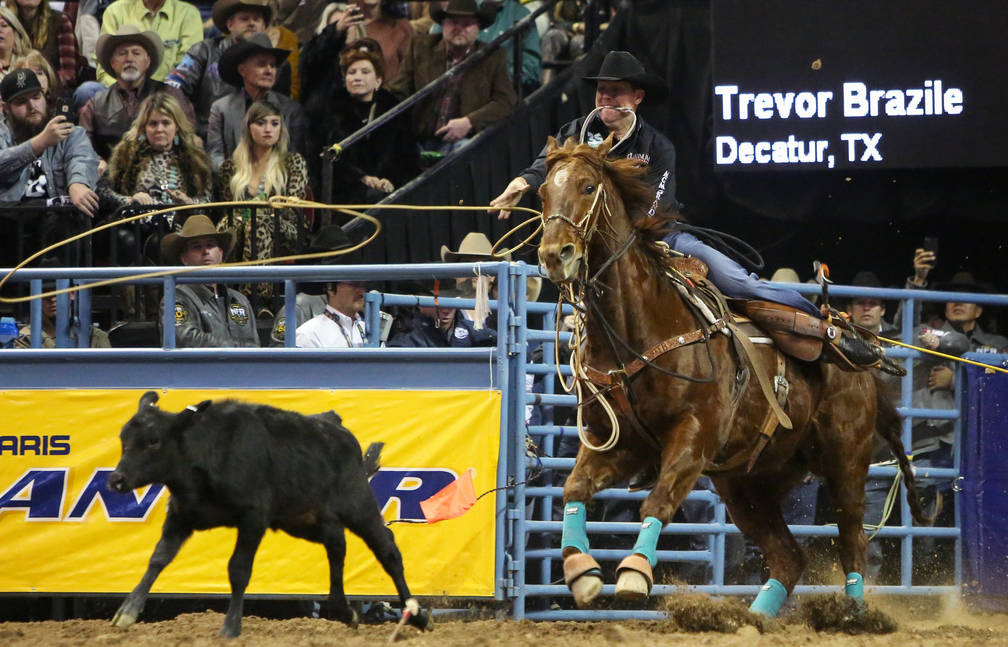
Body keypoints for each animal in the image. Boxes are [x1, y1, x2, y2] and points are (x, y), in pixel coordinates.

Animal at [536, 137, 927, 612]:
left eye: (588, 186)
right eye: (542, 193)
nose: (554, 255)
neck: (638, 327)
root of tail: (861, 372)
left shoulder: (694, 435)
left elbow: (658, 501)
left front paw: (633, 574)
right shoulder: (620, 442)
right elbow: (574, 488)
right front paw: (582, 572)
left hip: (845, 461)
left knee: (852, 540)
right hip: (748, 484)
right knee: (788, 556)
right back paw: (755, 616)